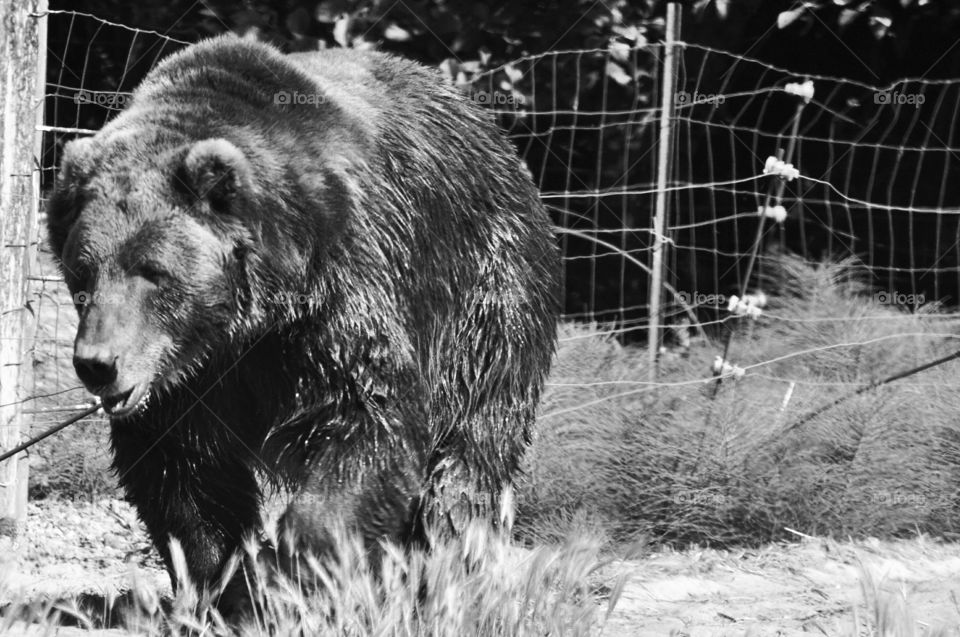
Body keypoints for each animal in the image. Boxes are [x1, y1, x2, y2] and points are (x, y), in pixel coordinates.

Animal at [46, 35, 560, 610]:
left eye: (152, 271)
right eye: (81, 270)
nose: (97, 363)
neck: (249, 319)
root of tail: (497, 138)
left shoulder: (337, 298)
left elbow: (366, 418)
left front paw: (296, 565)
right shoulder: (193, 376)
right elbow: (185, 471)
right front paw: (227, 585)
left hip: (488, 293)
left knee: (469, 455)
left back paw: (441, 574)